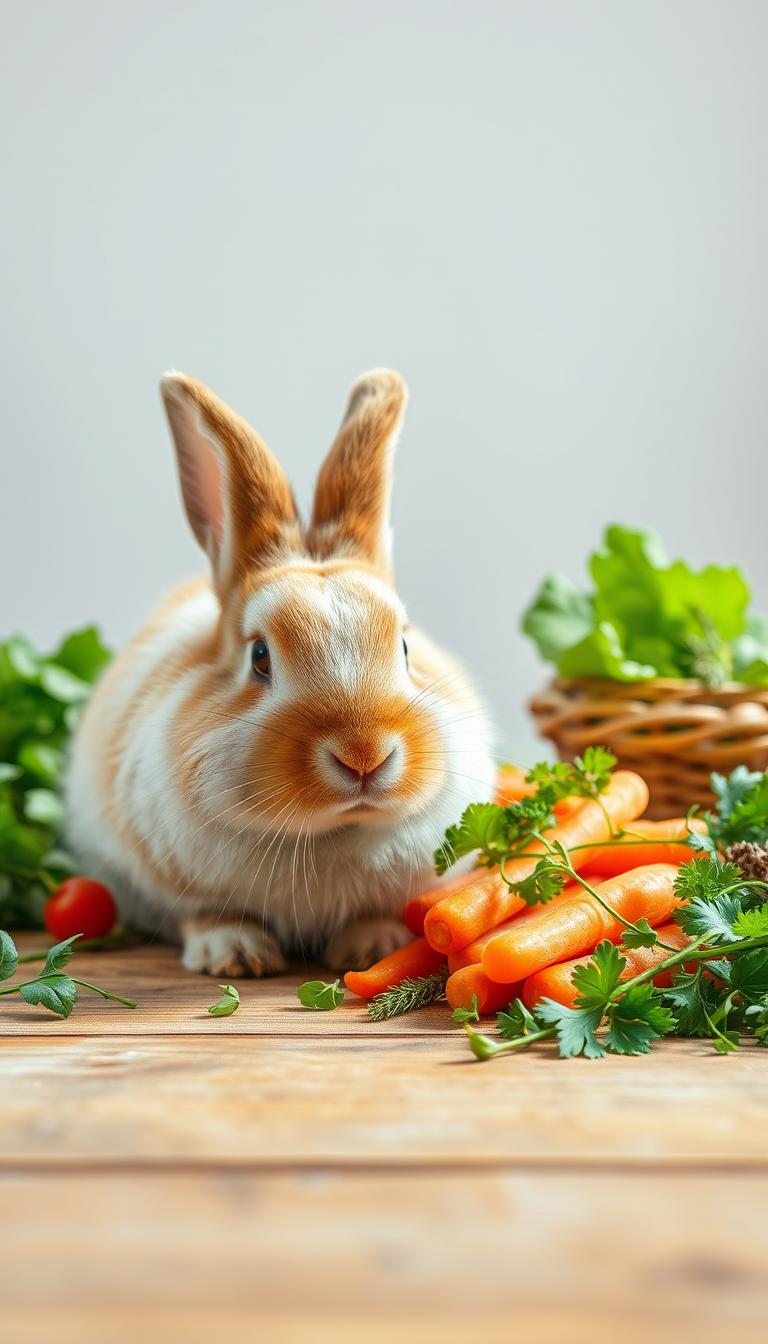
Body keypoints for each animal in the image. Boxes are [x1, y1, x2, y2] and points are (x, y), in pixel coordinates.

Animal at [66, 369, 496, 976]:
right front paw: (236, 956)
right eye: (260, 657)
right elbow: (205, 914)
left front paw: (374, 950)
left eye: (406, 646)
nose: (364, 756)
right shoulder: (173, 883)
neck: (330, 832)